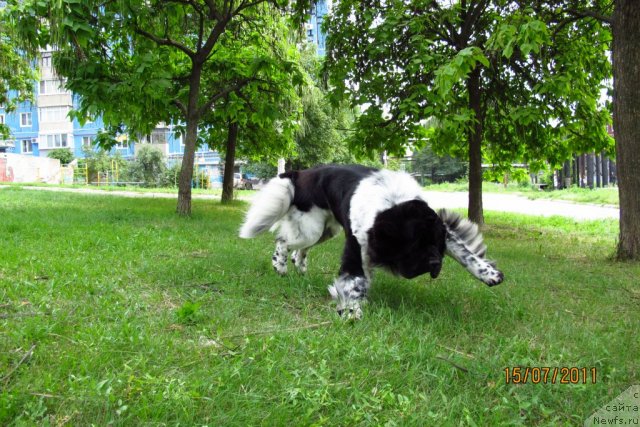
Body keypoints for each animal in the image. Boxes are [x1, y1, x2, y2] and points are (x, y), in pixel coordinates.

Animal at [238, 166, 502, 320]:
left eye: (435, 243)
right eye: (413, 244)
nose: (435, 263)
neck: (391, 204)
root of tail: (301, 173)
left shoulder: (443, 229)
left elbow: (466, 253)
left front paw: (489, 274)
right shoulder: (357, 247)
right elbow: (355, 282)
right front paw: (351, 310)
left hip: (326, 230)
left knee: (299, 251)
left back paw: (300, 269)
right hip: (311, 229)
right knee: (283, 241)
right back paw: (280, 267)